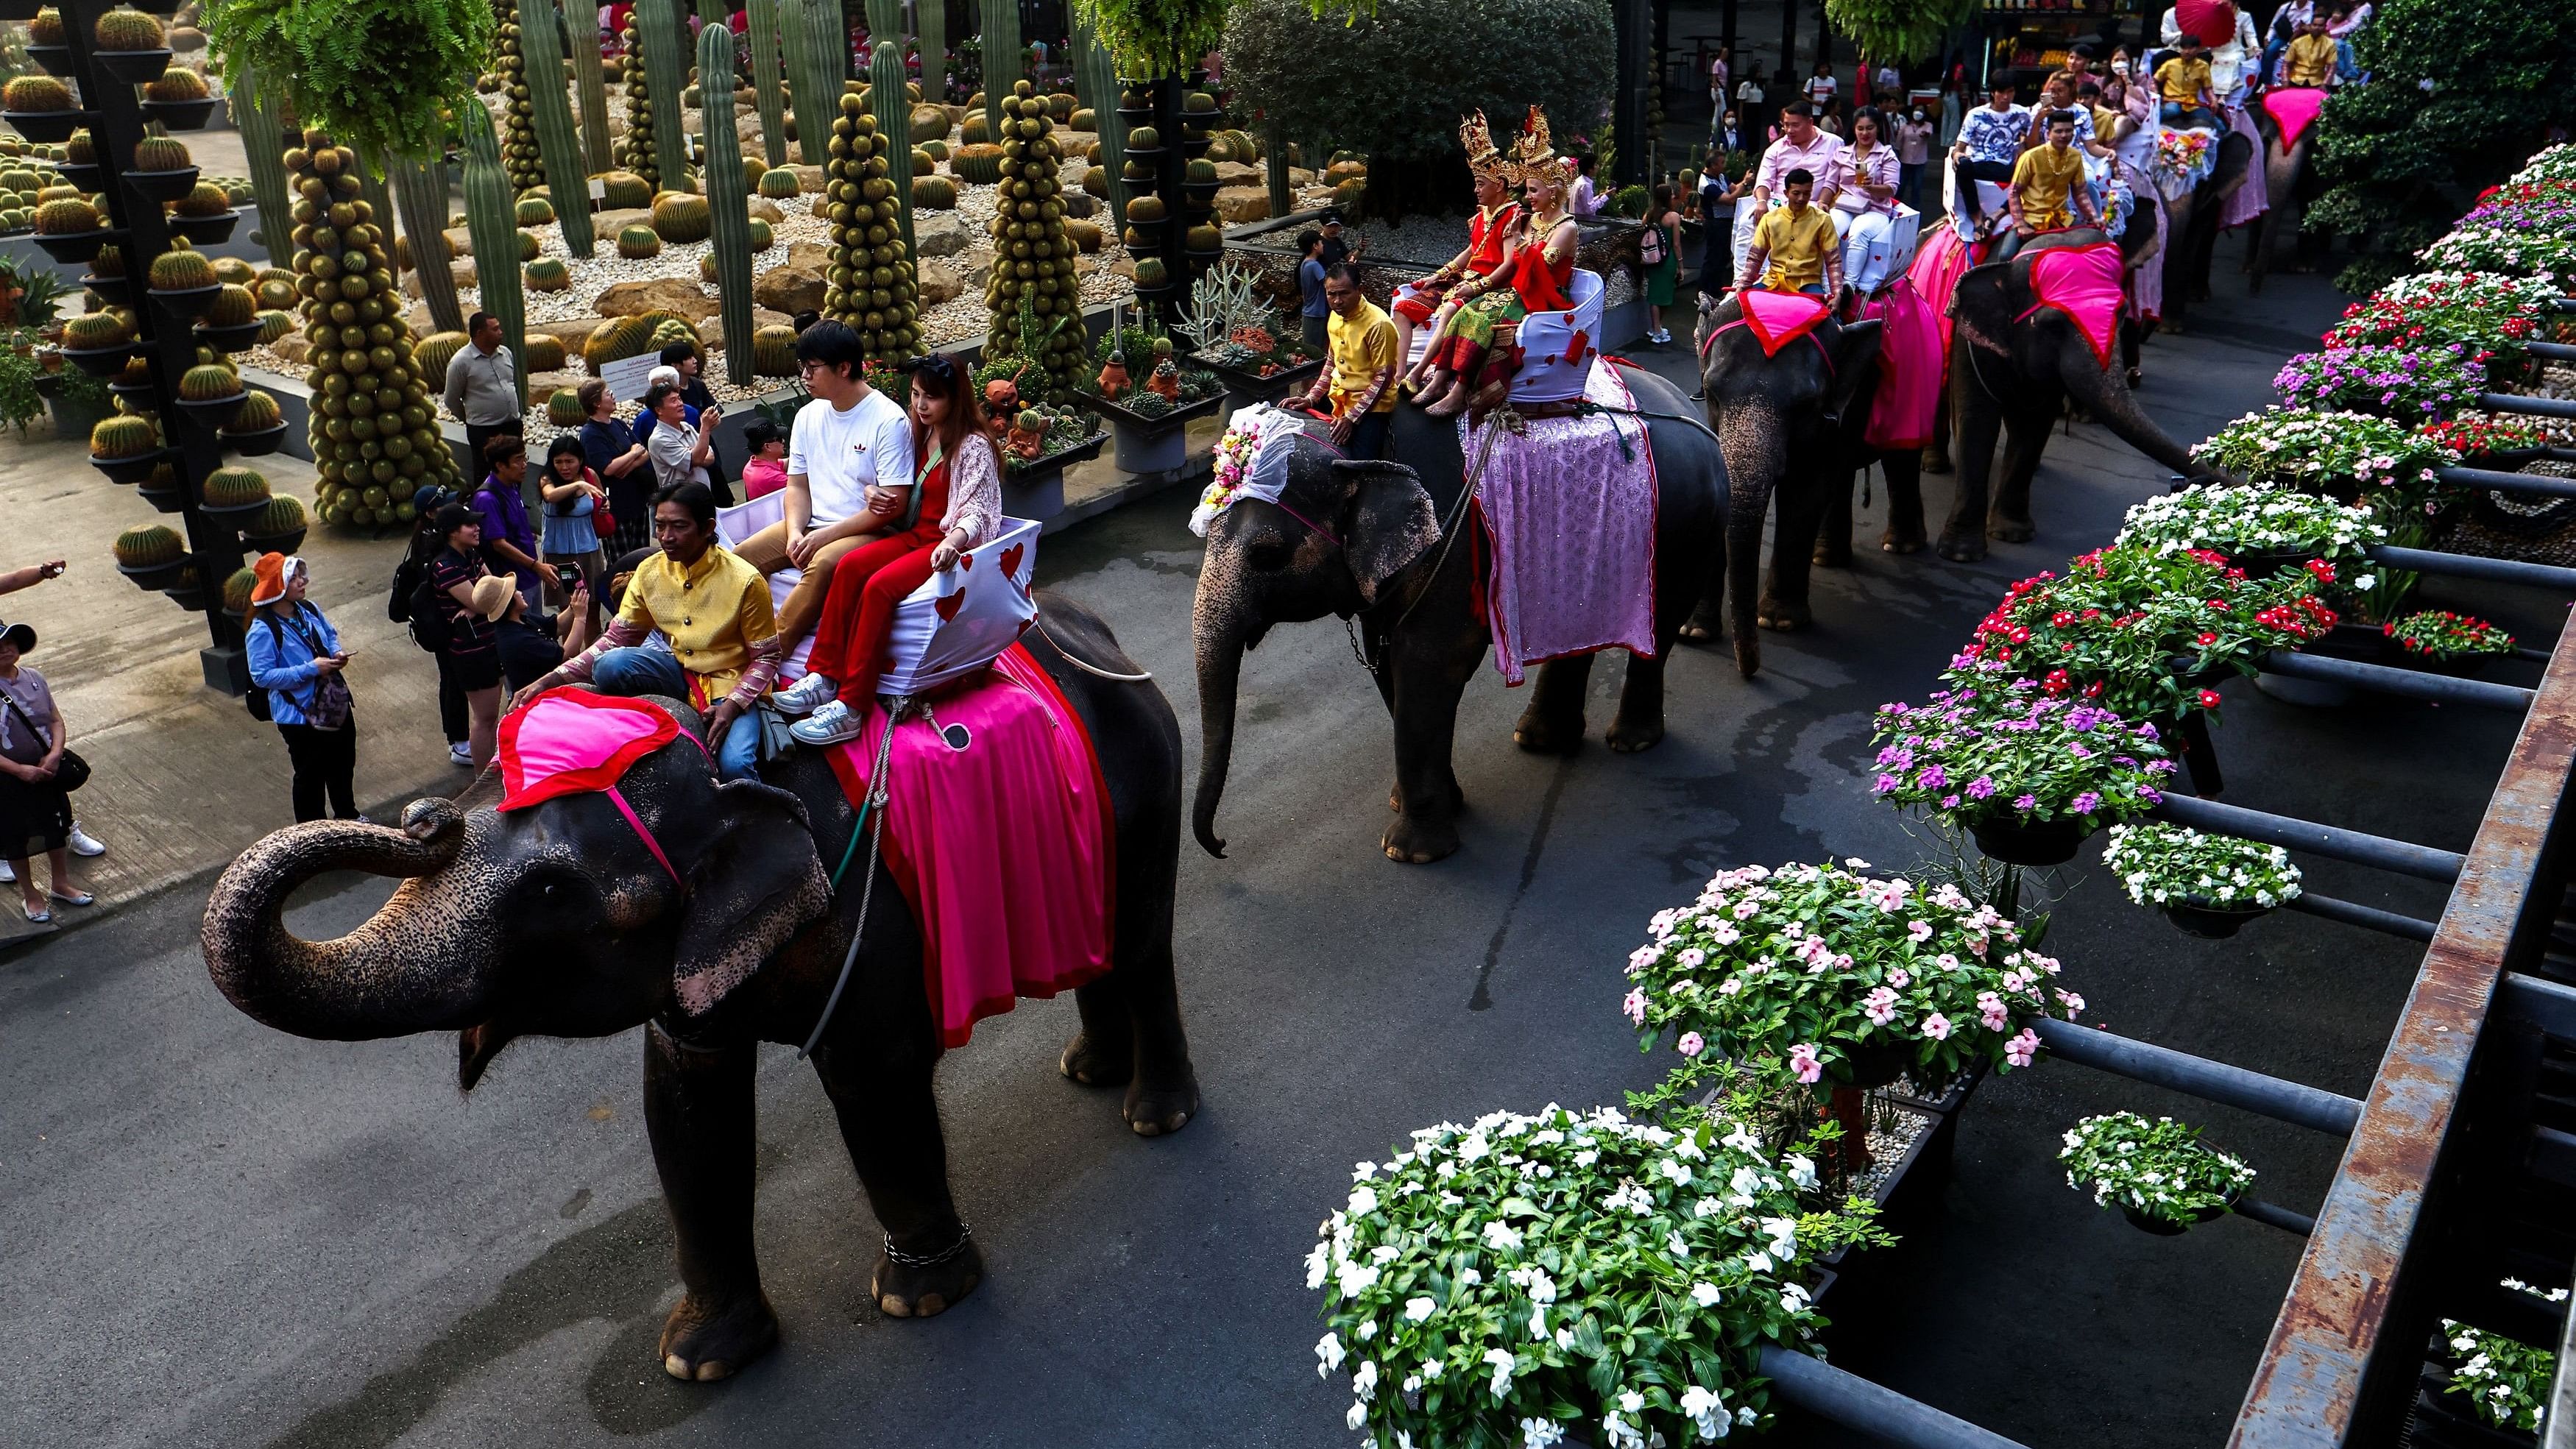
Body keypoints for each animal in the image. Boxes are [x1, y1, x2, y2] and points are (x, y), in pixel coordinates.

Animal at [1190, 368, 1731, 870]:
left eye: (1267, 554)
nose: (1222, 846)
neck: (1364, 451)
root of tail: (1697, 417)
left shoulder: (1448, 553)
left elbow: (1429, 665)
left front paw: (1411, 853)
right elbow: (1389, 667)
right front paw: (1422, 805)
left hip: (1685, 533)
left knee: (1660, 630)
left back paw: (1630, 742)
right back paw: (1541, 739)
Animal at [1937, 229, 2226, 563]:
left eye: (2122, 312)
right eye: (2052, 326)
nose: (2189, 483)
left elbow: (2036, 425)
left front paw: (2014, 535)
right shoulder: (1969, 341)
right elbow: (1977, 420)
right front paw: (1961, 555)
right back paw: (1935, 466)